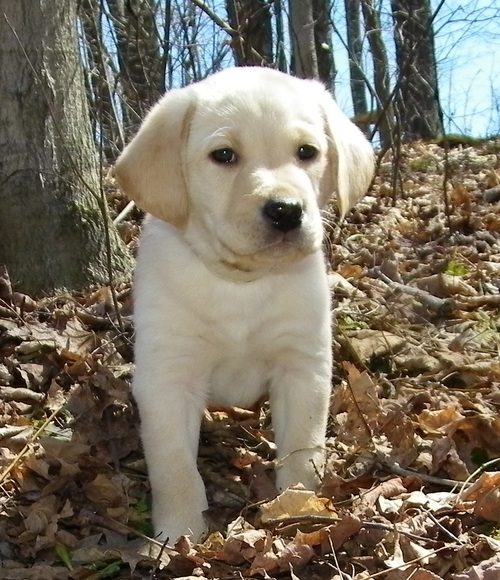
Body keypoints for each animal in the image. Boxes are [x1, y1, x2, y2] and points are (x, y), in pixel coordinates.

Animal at [115, 67, 374, 544]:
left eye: (307, 152)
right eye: (224, 155)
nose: (286, 211)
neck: (241, 282)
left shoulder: (302, 367)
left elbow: (302, 448)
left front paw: (299, 507)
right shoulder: (168, 378)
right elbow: (174, 466)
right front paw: (179, 534)